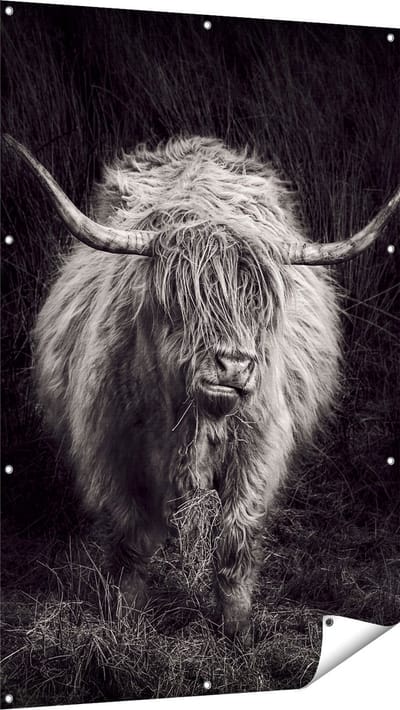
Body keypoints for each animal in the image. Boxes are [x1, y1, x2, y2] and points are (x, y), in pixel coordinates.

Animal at [4, 134, 399, 639]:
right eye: (182, 302)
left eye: (259, 304)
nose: (235, 365)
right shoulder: (111, 448)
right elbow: (130, 538)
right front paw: (126, 620)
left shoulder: (258, 450)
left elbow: (235, 536)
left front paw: (237, 628)